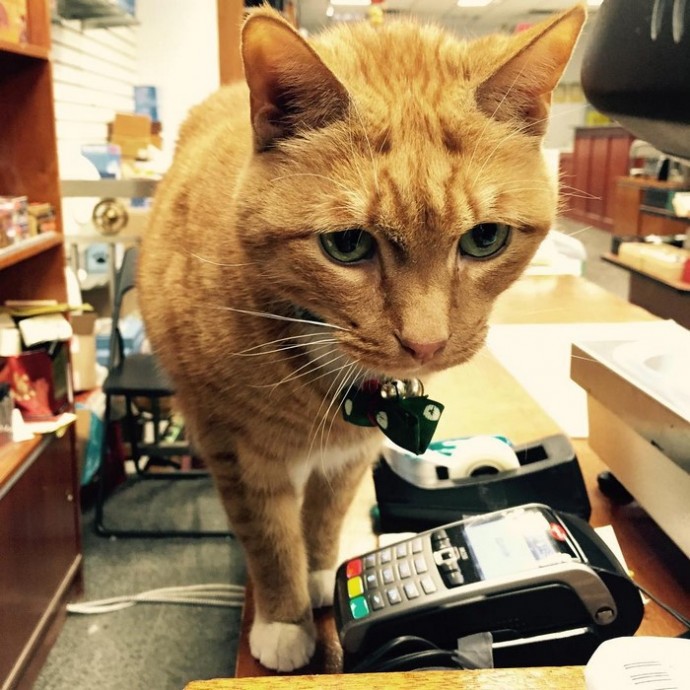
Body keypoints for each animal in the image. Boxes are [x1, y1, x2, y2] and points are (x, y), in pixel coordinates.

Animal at [137, 4, 584, 672]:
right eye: (346, 245)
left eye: (485, 239)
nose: (426, 345)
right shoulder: (233, 448)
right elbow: (269, 538)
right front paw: (285, 617)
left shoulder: (351, 456)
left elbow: (323, 516)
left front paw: (324, 573)